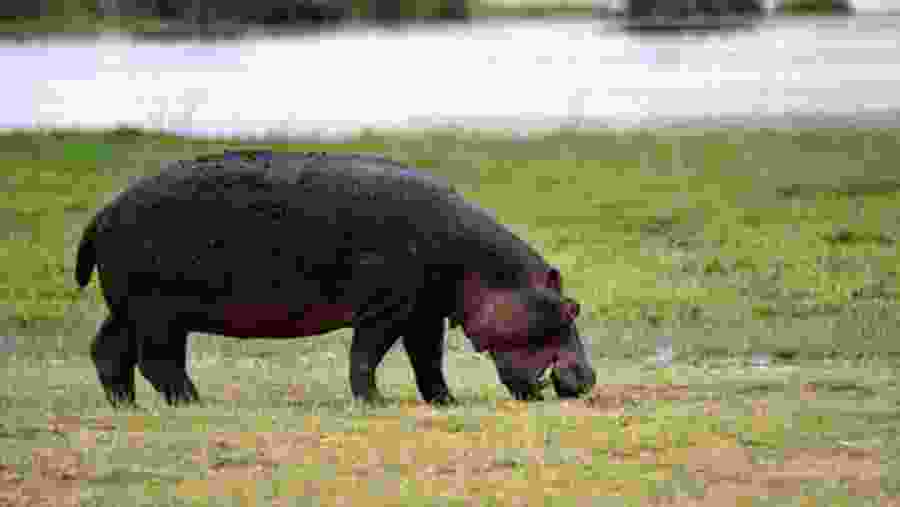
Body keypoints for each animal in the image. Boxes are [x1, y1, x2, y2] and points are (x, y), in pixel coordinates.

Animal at [76, 150, 596, 408]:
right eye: (570, 308)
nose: (589, 378)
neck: (483, 267)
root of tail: (102, 212)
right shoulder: (388, 309)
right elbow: (366, 355)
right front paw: (375, 404)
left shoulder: (424, 313)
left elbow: (428, 362)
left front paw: (445, 403)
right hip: (157, 310)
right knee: (156, 359)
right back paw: (192, 402)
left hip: (132, 308)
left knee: (109, 349)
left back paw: (127, 406)